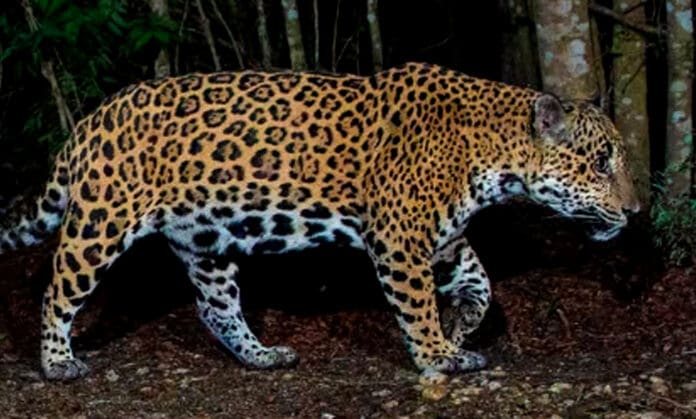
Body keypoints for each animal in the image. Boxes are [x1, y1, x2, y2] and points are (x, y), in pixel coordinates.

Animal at [0, 62, 639, 381]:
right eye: (601, 163)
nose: (635, 213)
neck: (494, 154)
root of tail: (89, 121)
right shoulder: (401, 238)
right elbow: (417, 305)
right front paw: (439, 355)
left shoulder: (443, 236)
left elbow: (481, 284)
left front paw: (461, 325)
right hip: (101, 223)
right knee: (57, 290)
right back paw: (57, 363)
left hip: (205, 239)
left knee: (216, 307)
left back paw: (261, 356)